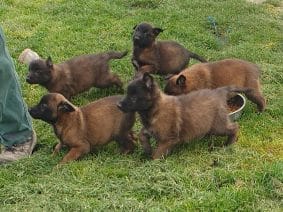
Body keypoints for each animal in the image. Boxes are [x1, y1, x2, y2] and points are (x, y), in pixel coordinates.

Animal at [117, 73, 251, 159]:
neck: (155, 109)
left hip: (217, 126)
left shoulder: (167, 140)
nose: (118, 105)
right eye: (127, 93)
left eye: (134, 97)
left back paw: (229, 144)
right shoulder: (150, 129)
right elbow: (141, 134)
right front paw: (147, 149)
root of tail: (219, 92)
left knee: (235, 127)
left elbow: (156, 155)